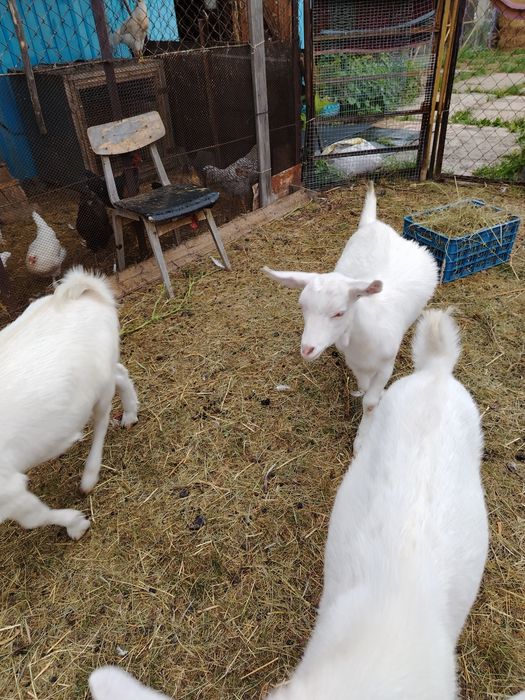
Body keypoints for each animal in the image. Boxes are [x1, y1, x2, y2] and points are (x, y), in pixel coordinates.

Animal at [0, 267, 138, 540]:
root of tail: (87, 293)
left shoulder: (7, 488)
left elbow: (33, 518)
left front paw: (76, 524)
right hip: (105, 370)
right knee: (120, 373)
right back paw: (130, 413)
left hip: (96, 389)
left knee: (102, 417)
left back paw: (89, 477)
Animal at [262, 182, 438, 413]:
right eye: (302, 307)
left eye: (339, 313)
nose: (307, 350)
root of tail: (373, 223)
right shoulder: (355, 363)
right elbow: (364, 387)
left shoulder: (386, 365)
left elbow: (370, 402)